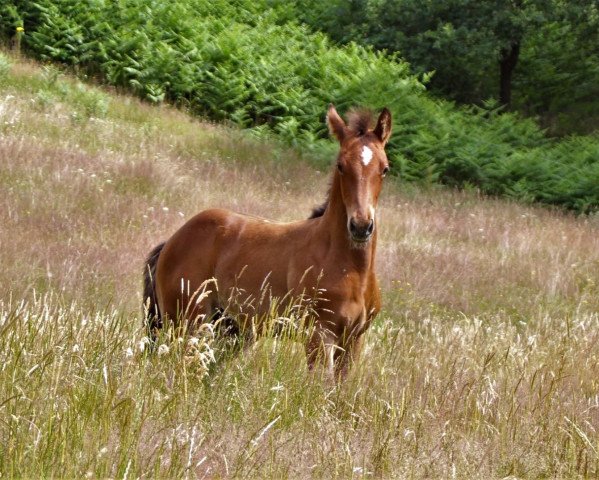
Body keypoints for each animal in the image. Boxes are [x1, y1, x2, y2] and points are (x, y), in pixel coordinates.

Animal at [143, 105, 392, 378]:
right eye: (340, 166)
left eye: (385, 169)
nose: (361, 226)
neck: (352, 269)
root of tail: (171, 242)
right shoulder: (318, 336)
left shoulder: (353, 340)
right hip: (187, 322)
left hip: (231, 329)